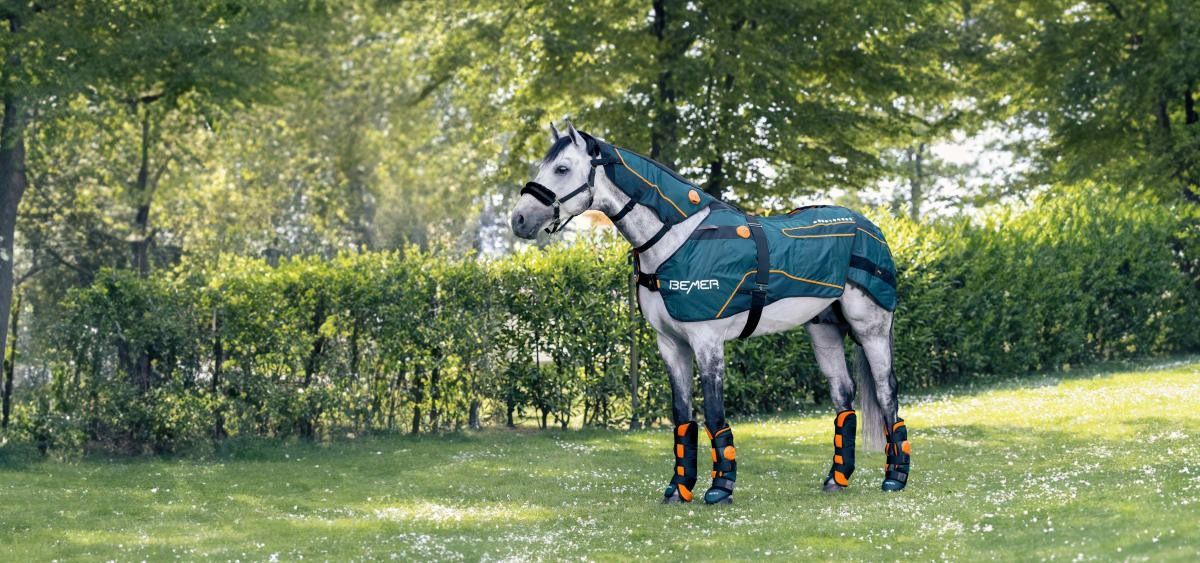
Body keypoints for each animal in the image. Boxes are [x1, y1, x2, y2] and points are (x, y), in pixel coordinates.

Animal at [509, 123, 910, 504]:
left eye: (562, 168)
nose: (520, 219)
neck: (675, 240)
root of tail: (871, 228)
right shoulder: (671, 345)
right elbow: (682, 417)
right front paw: (678, 489)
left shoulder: (707, 341)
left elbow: (715, 414)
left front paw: (720, 488)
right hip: (823, 331)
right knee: (844, 397)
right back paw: (837, 480)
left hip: (871, 330)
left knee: (886, 392)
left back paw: (894, 478)